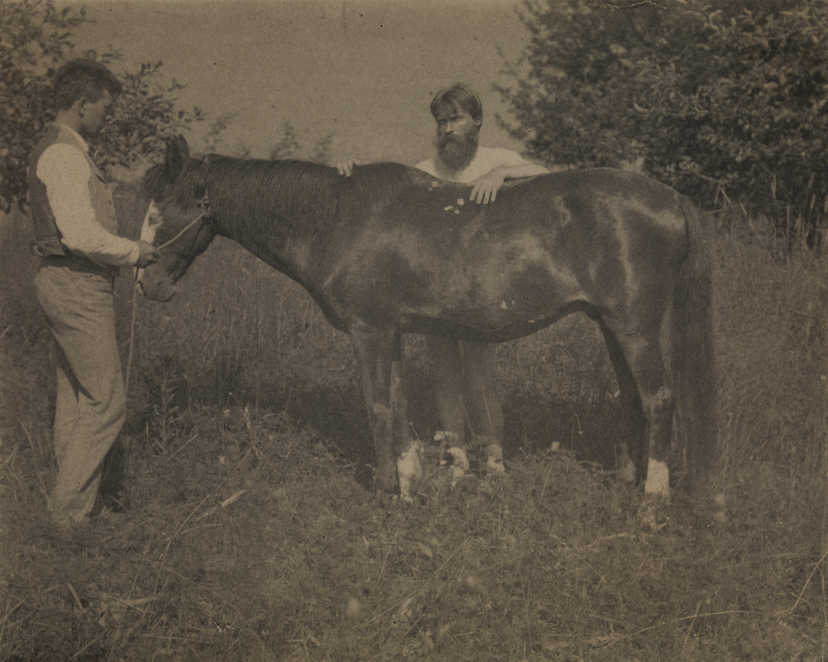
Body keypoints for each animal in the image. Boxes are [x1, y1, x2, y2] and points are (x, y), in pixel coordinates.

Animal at [138, 135, 716, 502]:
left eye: (159, 209)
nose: (147, 282)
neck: (337, 219)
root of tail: (671, 197)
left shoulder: (368, 331)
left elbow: (376, 405)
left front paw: (386, 492)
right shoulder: (391, 332)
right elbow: (398, 404)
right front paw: (411, 482)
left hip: (634, 328)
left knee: (659, 400)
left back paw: (652, 502)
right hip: (611, 328)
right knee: (634, 401)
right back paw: (624, 486)